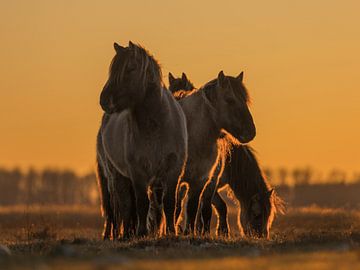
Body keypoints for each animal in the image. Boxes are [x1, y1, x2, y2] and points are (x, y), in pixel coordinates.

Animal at [97, 41, 190, 237]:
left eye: (130, 68)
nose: (104, 100)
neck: (156, 127)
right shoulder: (138, 173)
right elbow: (141, 203)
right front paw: (141, 232)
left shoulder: (173, 171)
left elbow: (169, 204)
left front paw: (170, 231)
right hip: (117, 176)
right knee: (124, 204)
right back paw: (125, 234)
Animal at [169, 72, 284, 238]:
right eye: (257, 215)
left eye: (270, 216)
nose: (261, 236)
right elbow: (212, 207)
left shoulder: (210, 182)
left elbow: (206, 208)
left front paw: (210, 231)